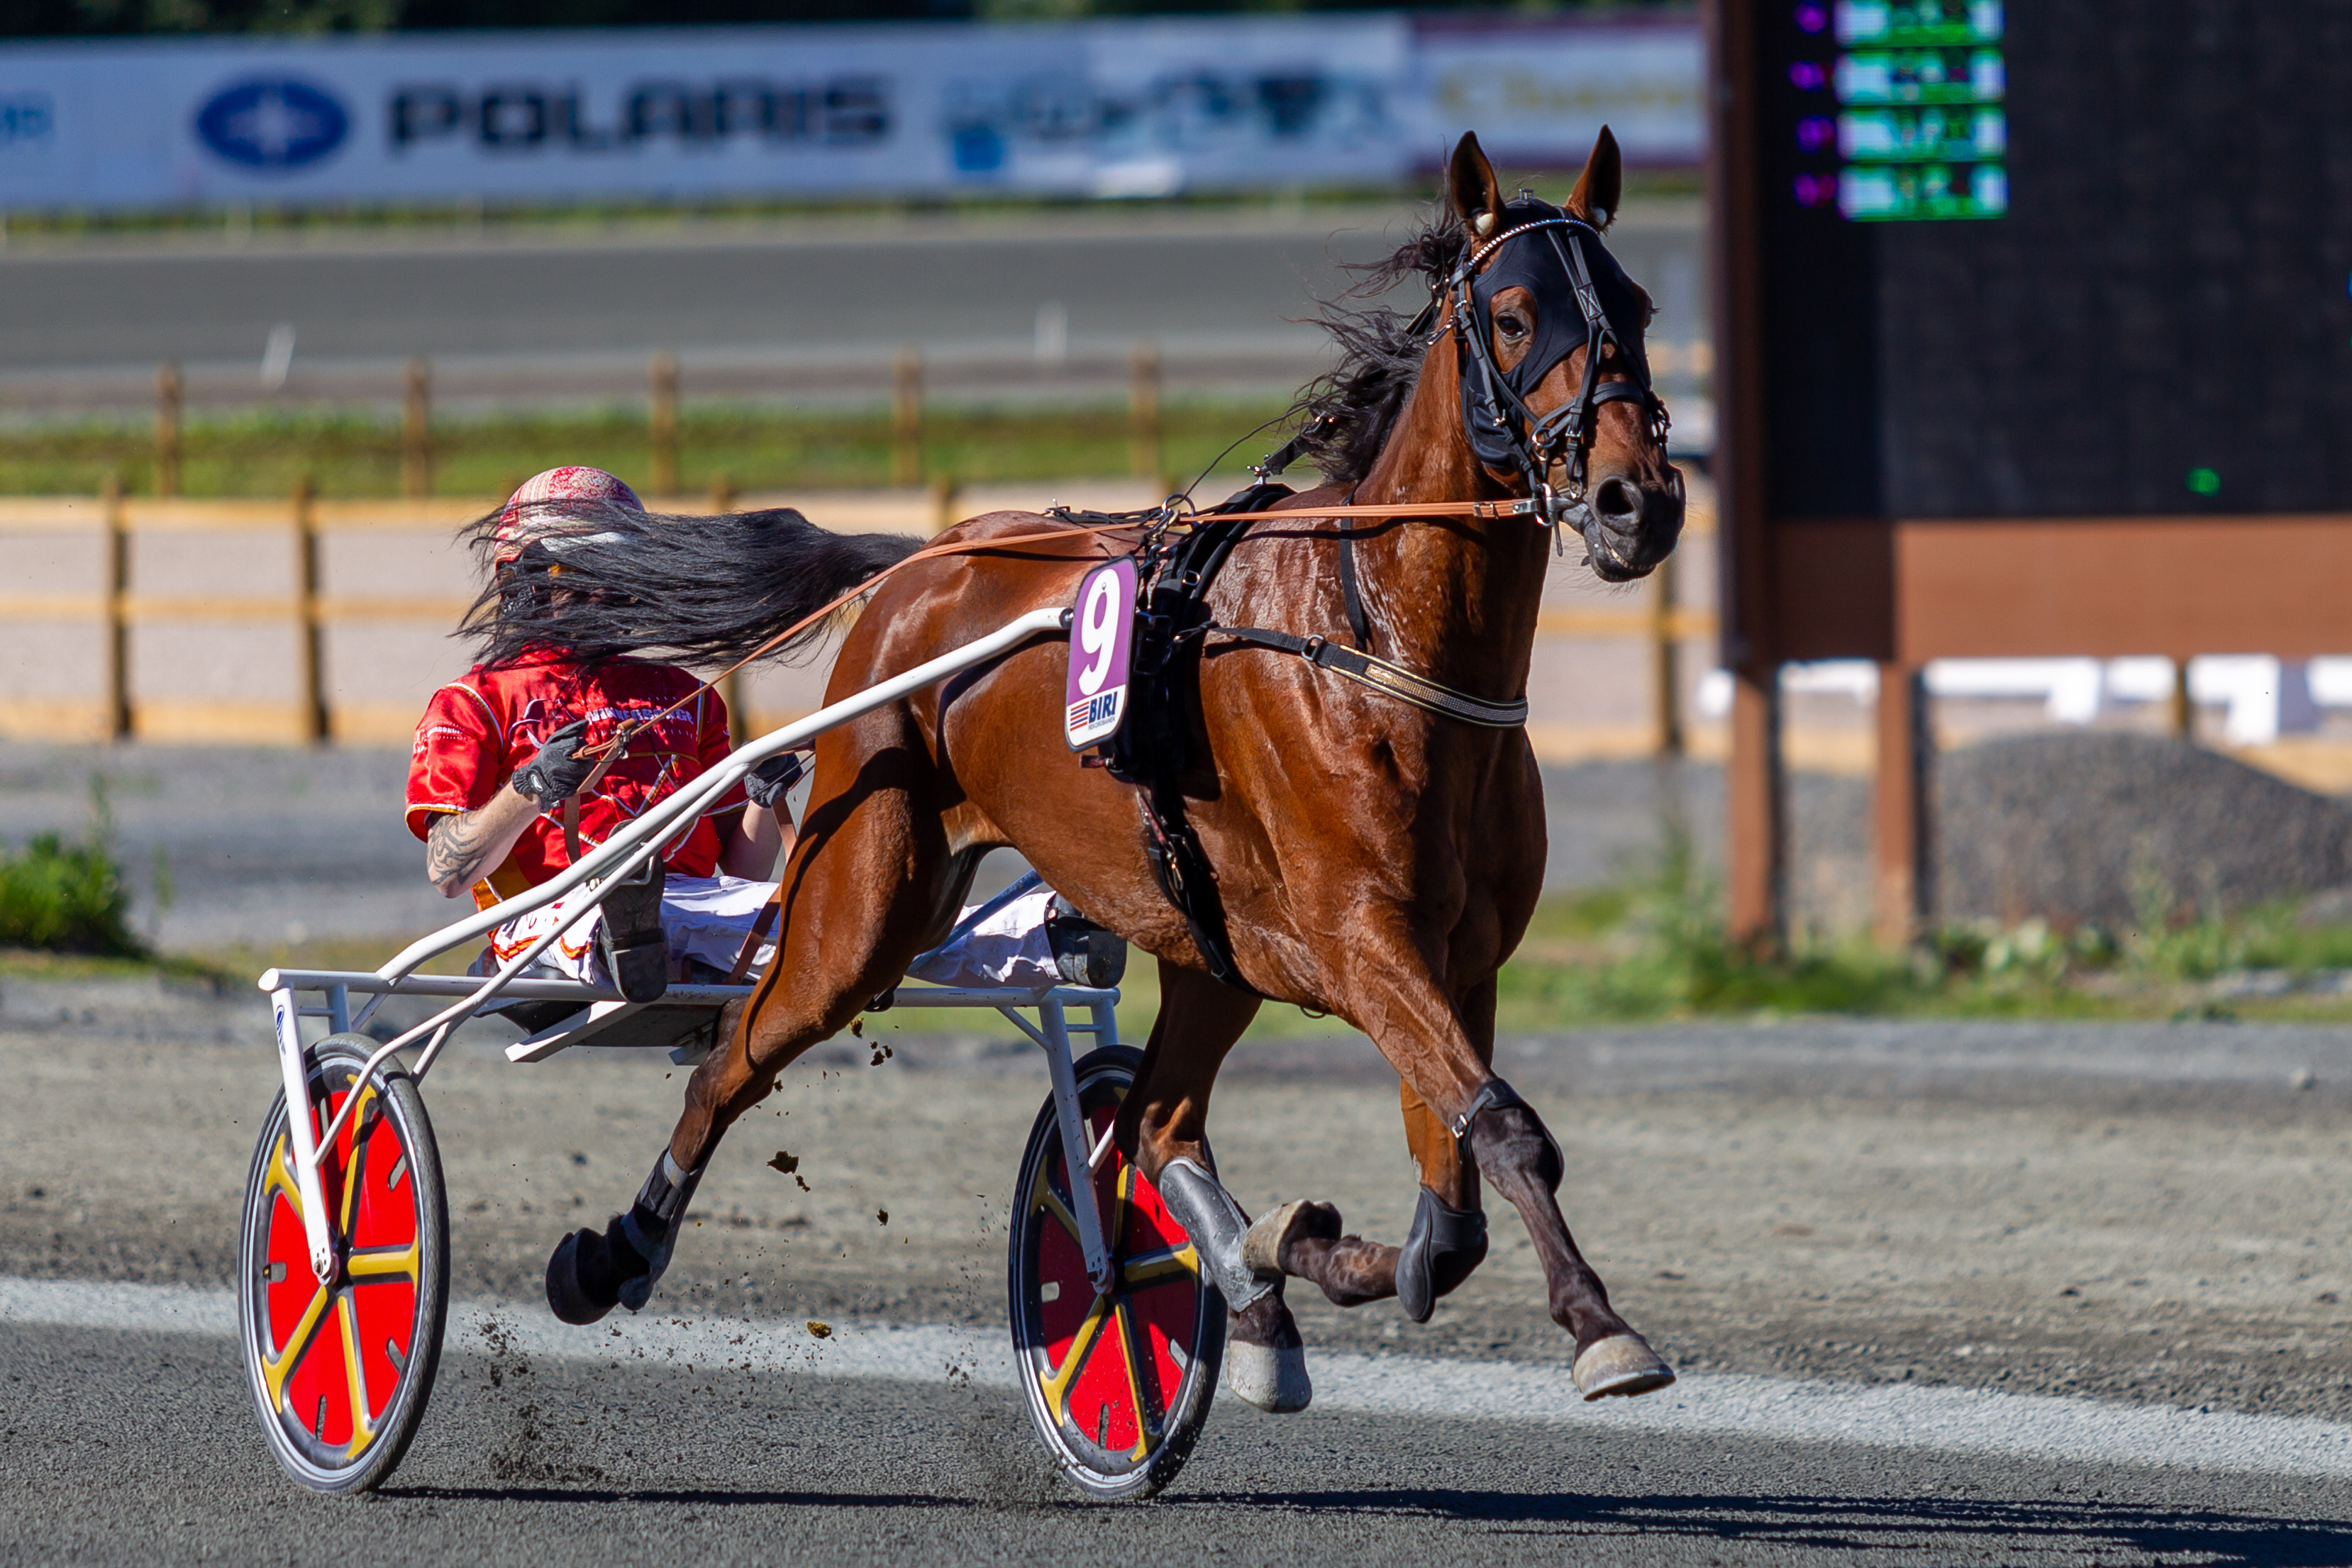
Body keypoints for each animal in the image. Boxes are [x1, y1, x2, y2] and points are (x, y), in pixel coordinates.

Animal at [477, 128, 1688, 1411]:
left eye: (1635, 304)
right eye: (1512, 316)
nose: (1635, 501)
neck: (1377, 637)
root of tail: (926, 559)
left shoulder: (1455, 955)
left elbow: (1449, 1209)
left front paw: (1323, 1251)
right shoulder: (1367, 939)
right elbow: (1503, 1134)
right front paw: (1601, 1326)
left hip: (1208, 945)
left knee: (1153, 1120)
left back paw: (1255, 1290)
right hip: (862, 899)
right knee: (734, 1057)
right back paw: (614, 1252)